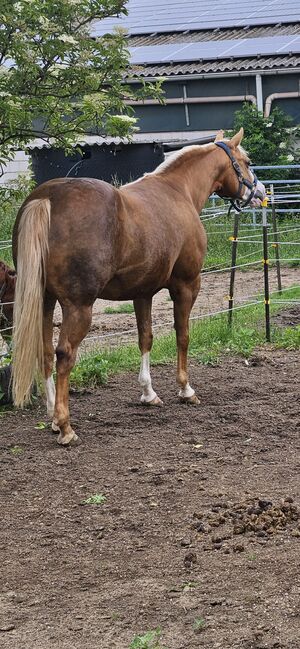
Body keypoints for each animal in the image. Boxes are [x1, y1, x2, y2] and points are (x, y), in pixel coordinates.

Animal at [11, 127, 264, 442]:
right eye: (247, 162)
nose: (261, 193)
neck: (178, 191)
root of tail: (47, 197)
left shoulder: (142, 293)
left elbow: (145, 338)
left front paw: (148, 393)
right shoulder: (186, 286)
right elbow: (183, 336)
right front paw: (185, 389)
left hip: (44, 301)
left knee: (45, 352)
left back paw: (51, 416)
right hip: (78, 307)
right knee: (65, 355)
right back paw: (65, 425)